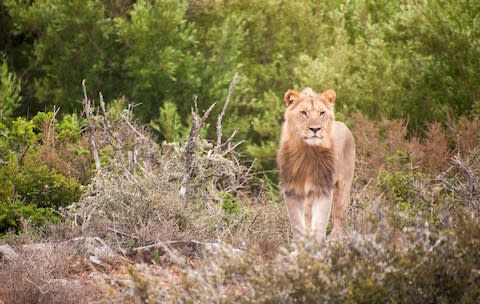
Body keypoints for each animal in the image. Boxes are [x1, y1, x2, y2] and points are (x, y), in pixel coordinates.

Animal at [276, 87, 354, 242]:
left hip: (343, 186)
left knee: (339, 216)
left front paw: (317, 246)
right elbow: (297, 223)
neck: (307, 153)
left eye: (321, 113)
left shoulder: (323, 189)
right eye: (303, 113)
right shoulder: (291, 190)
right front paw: (300, 246)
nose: (315, 129)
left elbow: (320, 223)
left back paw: (335, 240)